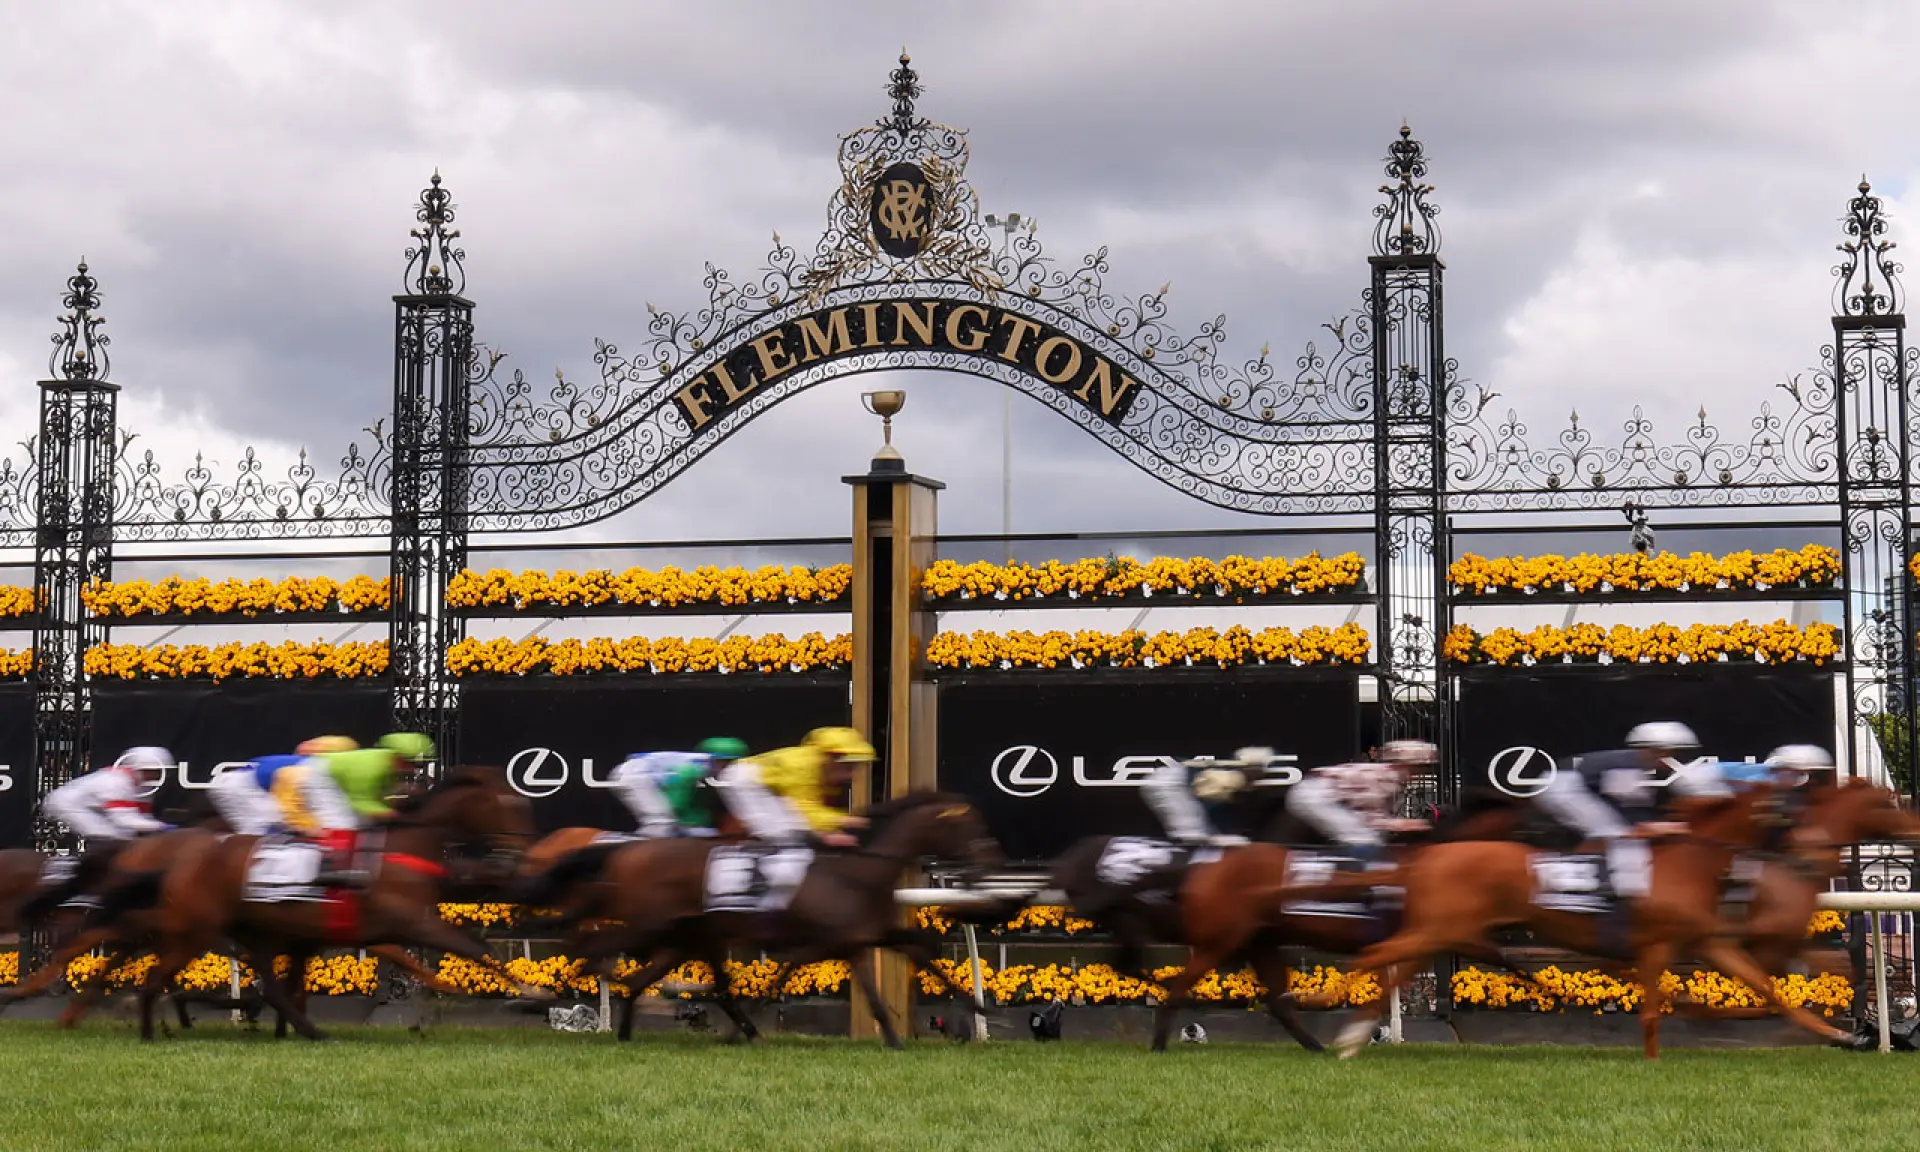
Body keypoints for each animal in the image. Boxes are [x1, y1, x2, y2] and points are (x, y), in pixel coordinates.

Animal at [1297, 787, 1850, 1059]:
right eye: (1791, 815)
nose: (1813, 856)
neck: (1687, 860)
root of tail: (1431, 856)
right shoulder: (1655, 947)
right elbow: (1654, 1013)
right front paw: (1654, 1061)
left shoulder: (1708, 942)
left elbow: (1766, 987)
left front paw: (1838, 1036)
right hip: (1438, 928)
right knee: (1378, 956)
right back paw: (1326, 1010)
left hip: (1442, 929)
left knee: (1396, 967)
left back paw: (1352, 1035)